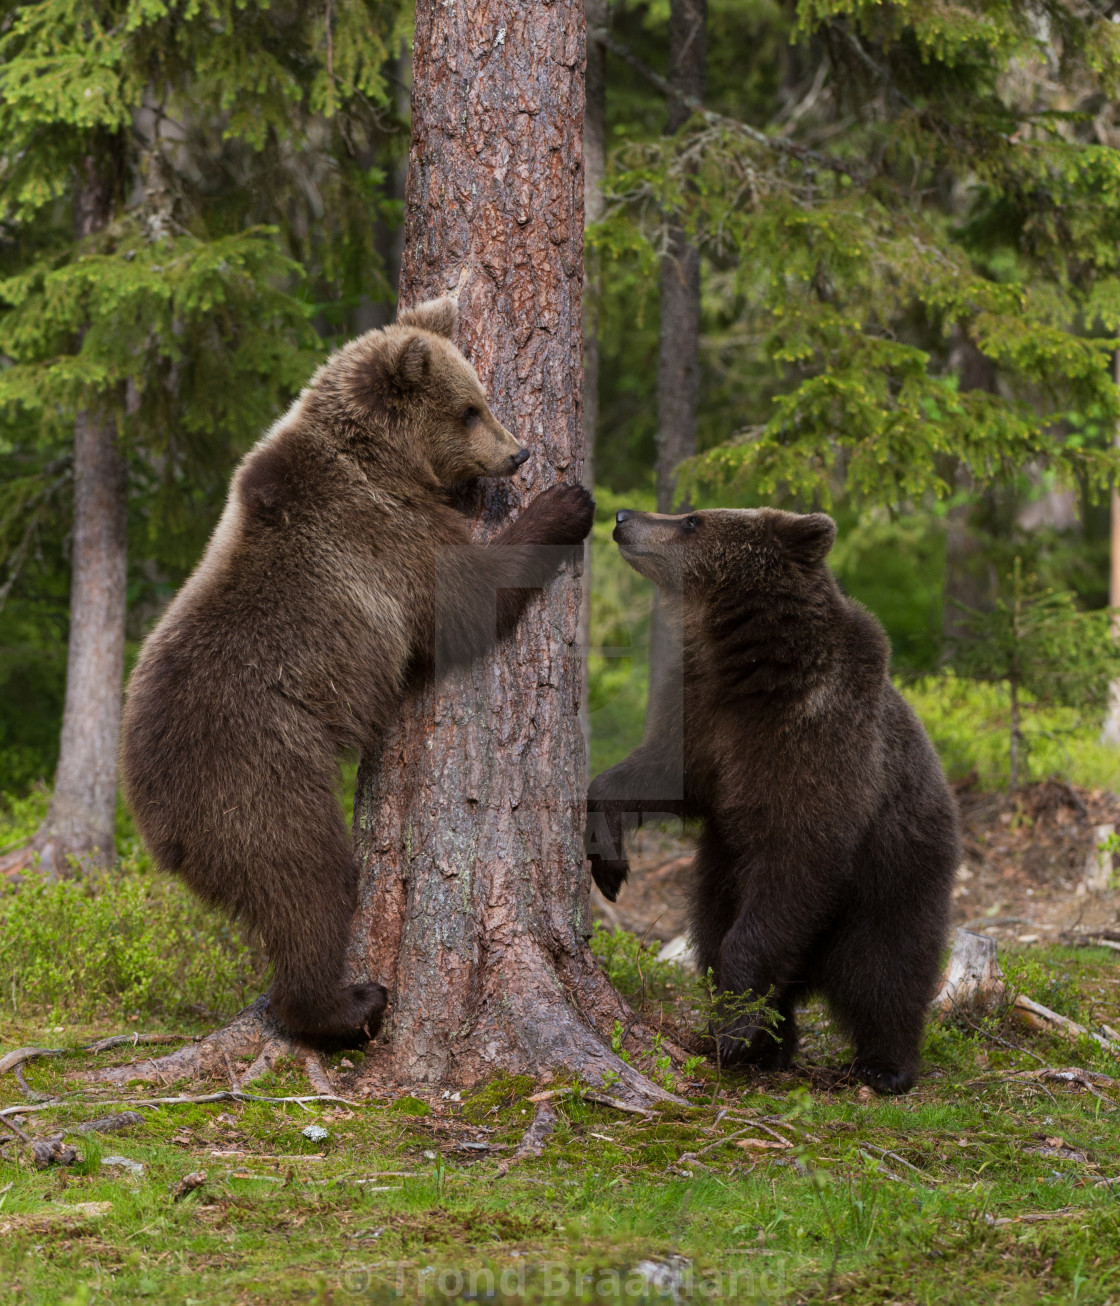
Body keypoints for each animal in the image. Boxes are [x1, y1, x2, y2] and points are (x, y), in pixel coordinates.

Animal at [120, 296, 592, 1039]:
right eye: (469, 409)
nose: (518, 452)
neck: (381, 465)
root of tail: (154, 823)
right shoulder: (383, 540)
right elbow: (462, 598)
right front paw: (567, 504)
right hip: (256, 773)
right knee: (307, 881)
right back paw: (349, 1005)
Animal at [579, 509, 955, 1091]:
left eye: (693, 521)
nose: (623, 517)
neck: (746, 664)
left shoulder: (816, 745)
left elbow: (790, 870)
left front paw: (736, 1027)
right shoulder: (702, 717)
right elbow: (657, 777)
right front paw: (610, 867)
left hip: (897, 872)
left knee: (886, 968)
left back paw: (884, 1065)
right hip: (720, 878)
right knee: (711, 929)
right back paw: (771, 1045)